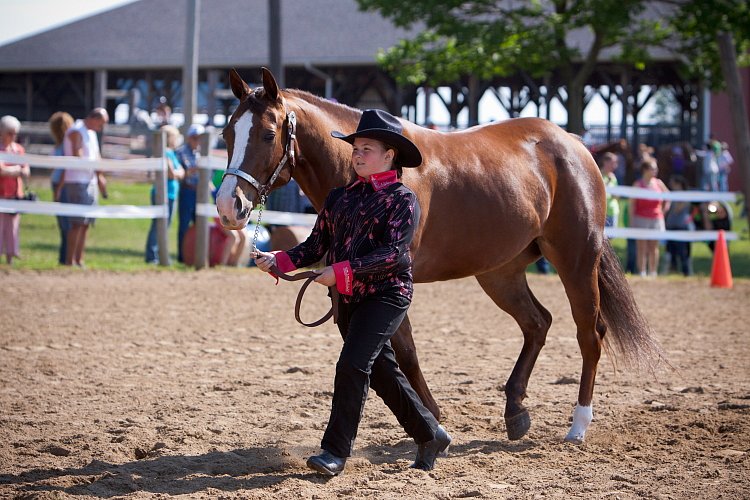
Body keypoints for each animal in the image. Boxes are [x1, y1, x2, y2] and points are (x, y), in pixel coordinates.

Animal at [216, 67, 664, 446]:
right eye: (226, 134)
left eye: (268, 134)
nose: (228, 207)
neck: (373, 179)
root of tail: (575, 145)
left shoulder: (395, 280)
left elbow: (405, 352)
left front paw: (432, 422)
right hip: (500, 272)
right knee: (538, 323)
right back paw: (516, 412)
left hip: (576, 259)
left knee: (590, 334)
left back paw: (578, 425)